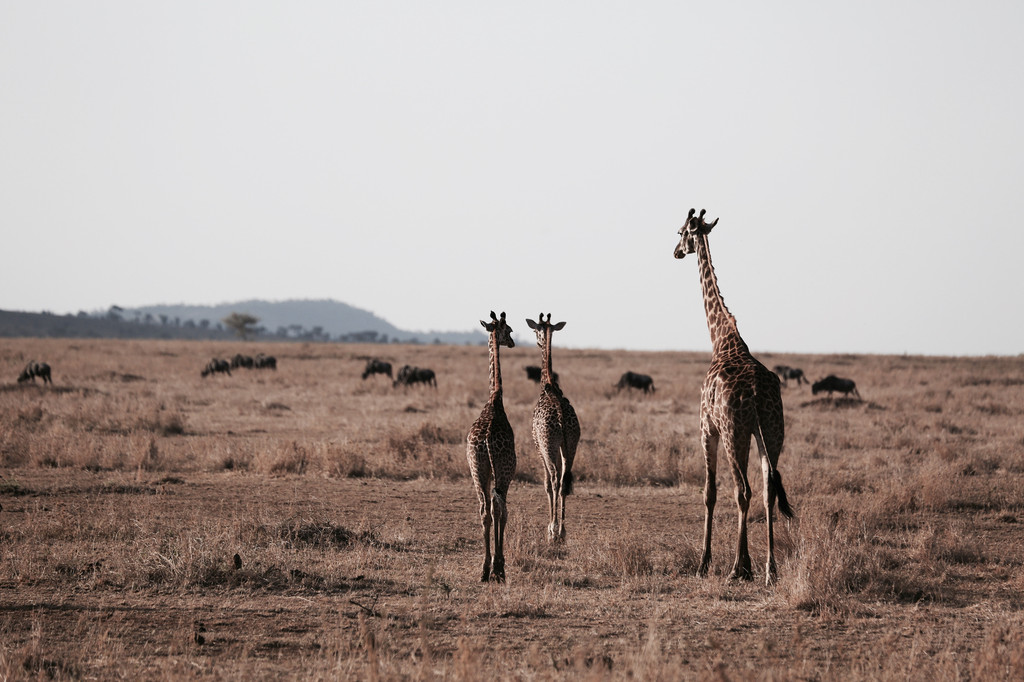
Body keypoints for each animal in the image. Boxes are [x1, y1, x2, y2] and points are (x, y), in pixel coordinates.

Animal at [524, 313, 581, 540]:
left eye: (534, 330)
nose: (538, 341)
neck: (547, 385)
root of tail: (561, 420)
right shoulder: (561, 445)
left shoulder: (538, 444)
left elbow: (547, 483)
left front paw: (550, 528)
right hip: (571, 444)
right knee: (565, 479)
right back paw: (562, 531)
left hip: (548, 444)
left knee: (556, 479)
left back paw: (554, 531)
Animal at [675, 208, 794, 585]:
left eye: (681, 232)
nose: (675, 252)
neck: (722, 338)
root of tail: (755, 395)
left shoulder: (706, 428)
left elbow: (709, 493)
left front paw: (704, 563)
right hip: (772, 432)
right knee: (769, 490)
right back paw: (770, 570)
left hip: (734, 432)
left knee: (744, 490)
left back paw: (738, 568)